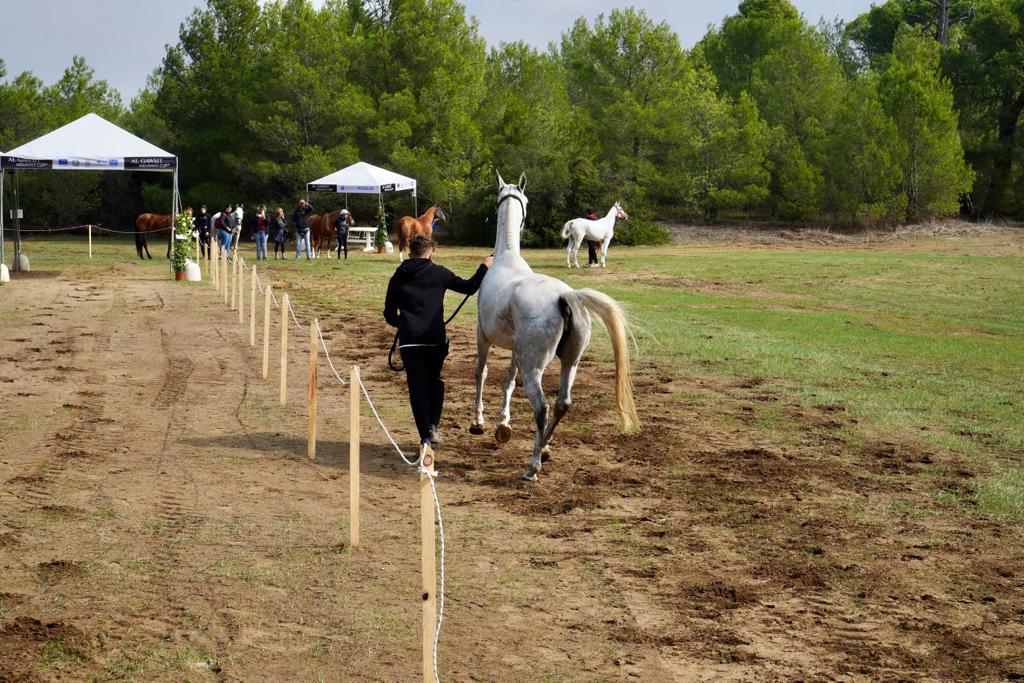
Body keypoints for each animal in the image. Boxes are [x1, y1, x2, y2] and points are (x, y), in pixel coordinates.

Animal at [471, 172, 640, 481]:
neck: (506, 258)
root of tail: (565, 296)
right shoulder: (516, 350)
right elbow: (507, 381)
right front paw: (503, 425)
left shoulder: (483, 337)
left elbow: (482, 373)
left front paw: (478, 422)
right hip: (569, 363)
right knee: (563, 403)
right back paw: (545, 448)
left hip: (534, 368)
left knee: (542, 407)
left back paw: (533, 466)